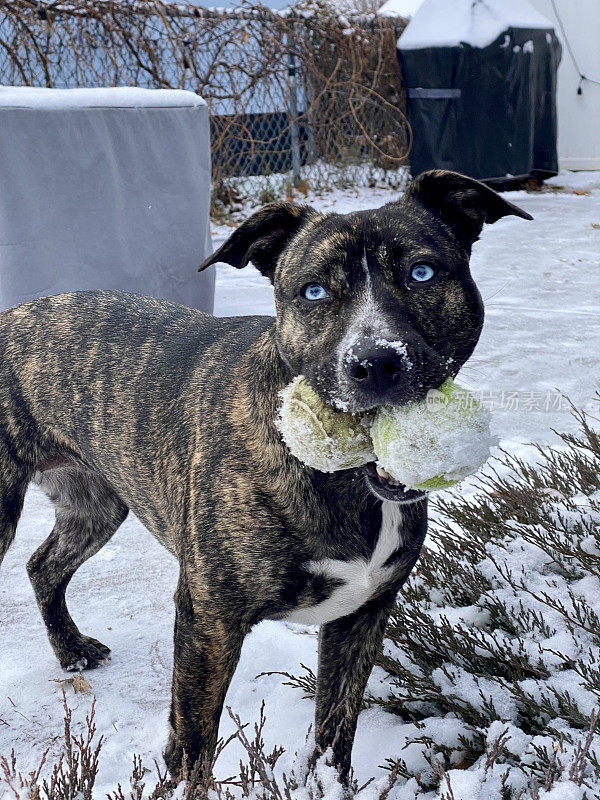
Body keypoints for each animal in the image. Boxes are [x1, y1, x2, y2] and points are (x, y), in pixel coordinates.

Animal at [0, 170, 528, 780]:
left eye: (422, 273)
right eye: (313, 292)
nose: (376, 362)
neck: (339, 479)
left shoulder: (361, 617)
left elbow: (334, 736)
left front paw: (326, 785)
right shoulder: (209, 619)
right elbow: (193, 745)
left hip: (97, 504)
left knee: (44, 565)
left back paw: (72, 651)